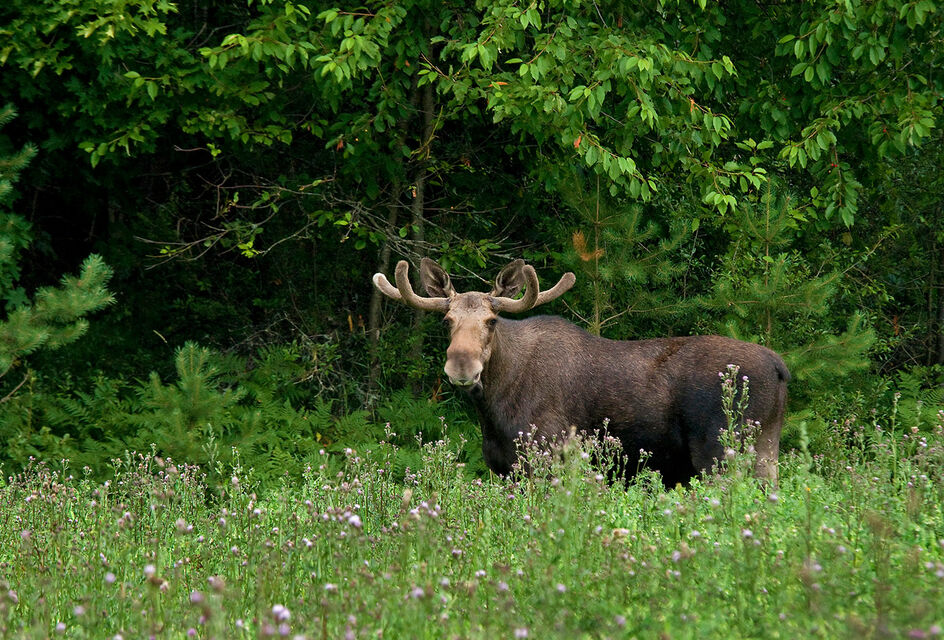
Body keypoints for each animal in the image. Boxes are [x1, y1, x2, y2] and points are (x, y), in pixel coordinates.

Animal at [373, 258, 790, 486]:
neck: (493, 409)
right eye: (447, 320)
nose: (462, 365)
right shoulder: (503, 468)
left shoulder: (548, 453)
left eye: (492, 320)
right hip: (764, 450)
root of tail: (779, 367)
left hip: (722, 451)